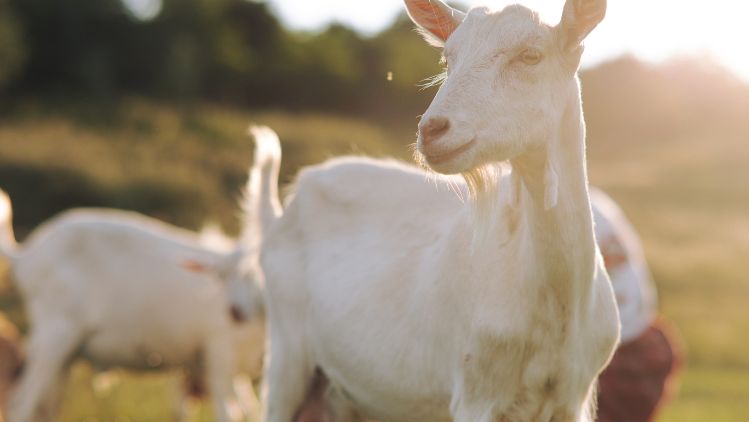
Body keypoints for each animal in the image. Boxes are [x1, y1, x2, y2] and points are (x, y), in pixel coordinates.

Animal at [0, 126, 279, 422]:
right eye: (229, 275)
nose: (236, 313)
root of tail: (26, 254)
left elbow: (251, 410)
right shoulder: (217, 356)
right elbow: (229, 412)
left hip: (65, 352)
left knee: (46, 405)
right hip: (55, 332)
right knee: (23, 403)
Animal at [257, 1, 619, 421]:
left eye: (531, 56)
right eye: (448, 59)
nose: (432, 130)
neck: (557, 300)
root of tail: (283, 210)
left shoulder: (572, 397)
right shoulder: (475, 394)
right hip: (285, 355)